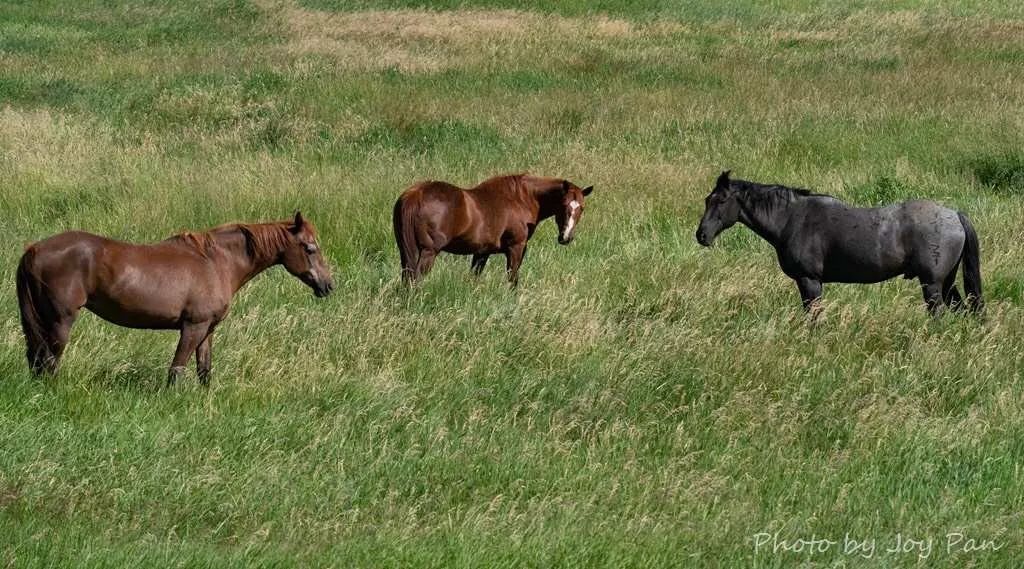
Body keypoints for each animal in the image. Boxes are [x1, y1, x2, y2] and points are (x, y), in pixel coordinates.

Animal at [14, 212, 335, 386]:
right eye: (310, 248)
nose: (328, 285)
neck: (217, 262)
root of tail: (34, 249)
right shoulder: (192, 327)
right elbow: (177, 370)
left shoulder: (207, 330)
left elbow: (204, 370)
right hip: (61, 321)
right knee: (49, 360)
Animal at [395, 171, 598, 284]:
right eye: (563, 205)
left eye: (582, 208)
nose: (566, 237)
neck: (521, 198)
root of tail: (415, 194)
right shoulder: (516, 248)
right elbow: (512, 279)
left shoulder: (482, 253)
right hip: (428, 252)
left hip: (405, 251)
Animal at [696, 170, 983, 315]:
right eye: (707, 199)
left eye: (721, 200)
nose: (701, 235)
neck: (792, 218)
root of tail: (954, 215)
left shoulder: (809, 281)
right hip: (945, 282)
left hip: (932, 284)